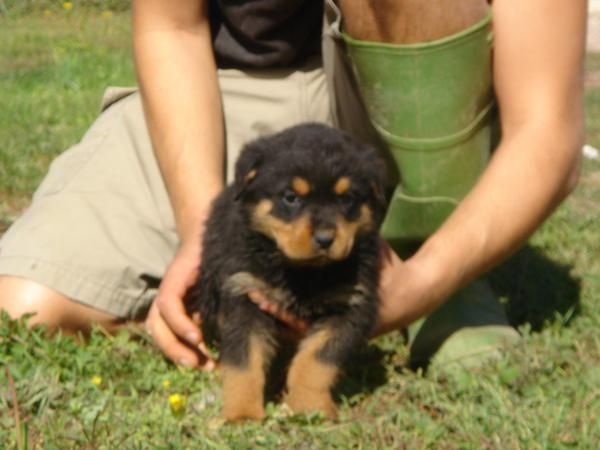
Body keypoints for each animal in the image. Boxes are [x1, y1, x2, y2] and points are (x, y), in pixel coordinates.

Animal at [185, 121, 386, 420]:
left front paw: (309, 407)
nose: (325, 239)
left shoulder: (352, 305)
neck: (302, 273)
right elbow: (244, 362)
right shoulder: (244, 294)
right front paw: (241, 415)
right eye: (291, 198)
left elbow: (315, 360)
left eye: (347, 198)